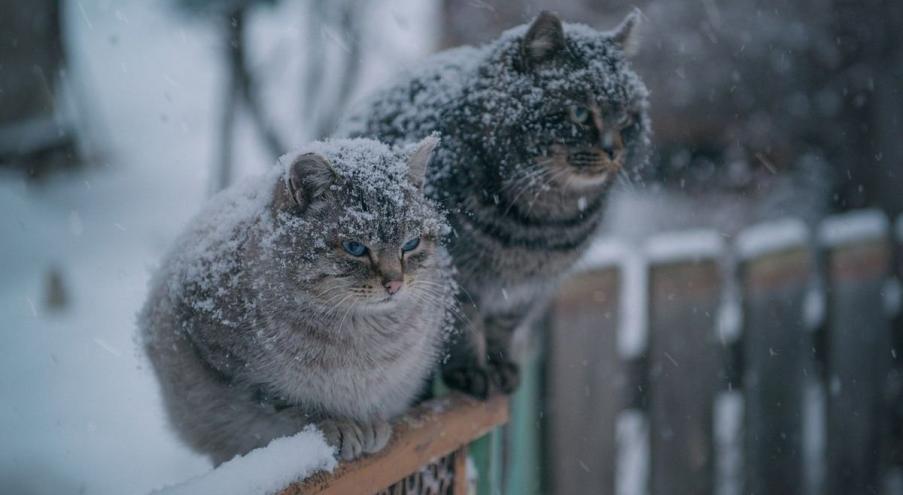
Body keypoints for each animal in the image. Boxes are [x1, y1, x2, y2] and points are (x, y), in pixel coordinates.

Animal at [139, 137, 456, 464]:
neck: (362, 334)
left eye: (411, 244)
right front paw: (339, 424)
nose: (395, 284)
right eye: (355, 247)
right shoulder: (231, 368)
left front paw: (368, 424)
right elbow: (288, 405)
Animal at [342, 11, 652, 400]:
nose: (614, 150)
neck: (542, 224)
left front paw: (500, 367)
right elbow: (463, 326)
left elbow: (503, 328)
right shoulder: (457, 276)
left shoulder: (528, 290)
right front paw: (471, 371)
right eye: (581, 113)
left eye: (625, 117)